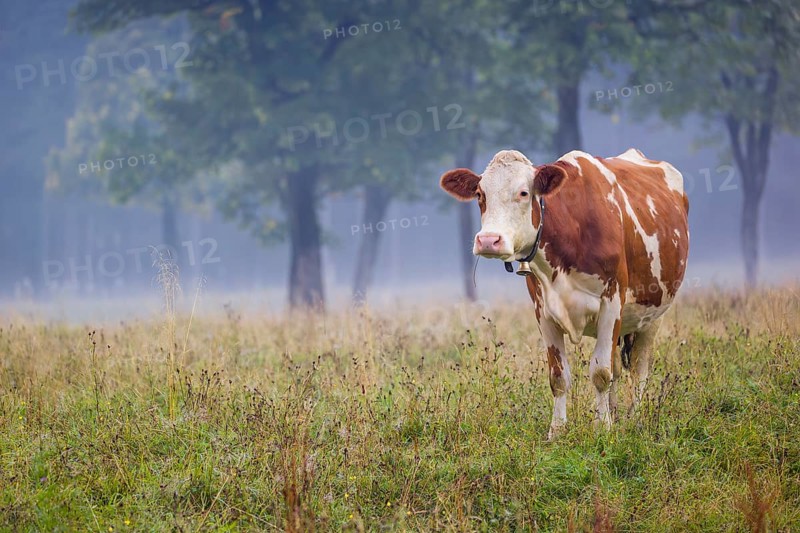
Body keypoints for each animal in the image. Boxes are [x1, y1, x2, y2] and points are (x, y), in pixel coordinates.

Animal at [440, 148, 689, 439]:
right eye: (480, 194)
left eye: (524, 192)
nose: (489, 240)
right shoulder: (543, 311)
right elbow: (559, 376)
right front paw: (558, 431)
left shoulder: (612, 303)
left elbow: (601, 372)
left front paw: (601, 428)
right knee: (617, 367)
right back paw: (615, 413)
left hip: (653, 313)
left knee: (639, 369)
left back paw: (634, 418)